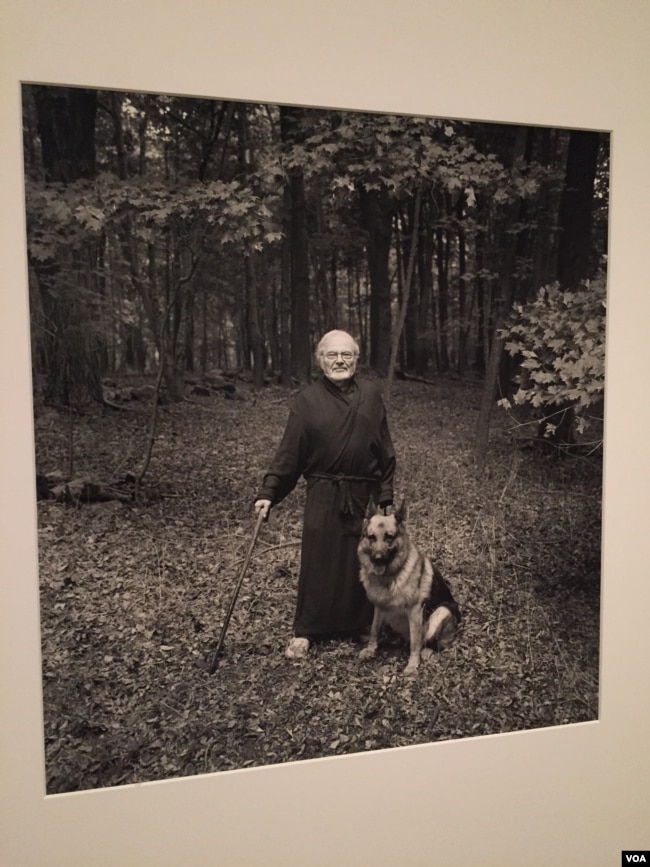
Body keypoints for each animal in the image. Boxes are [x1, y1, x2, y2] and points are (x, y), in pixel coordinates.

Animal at [356, 498, 458, 676]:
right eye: (372, 537)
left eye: (389, 537)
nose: (377, 559)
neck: (389, 577)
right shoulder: (379, 607)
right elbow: (375, 629)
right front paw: (371, 649)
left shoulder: (415, 611)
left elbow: (415, 643)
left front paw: (412, 664)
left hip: (441, 611)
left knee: (434, 642)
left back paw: (428, 651)